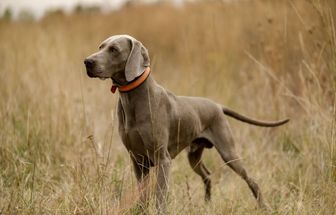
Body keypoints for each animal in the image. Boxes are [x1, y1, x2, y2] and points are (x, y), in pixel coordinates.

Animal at [83, 34, 288, 212]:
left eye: (114, 49)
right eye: (100, 47)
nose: (87, 62)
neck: (133, 98)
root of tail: (217, 105)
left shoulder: (162, 159)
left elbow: (160, 194)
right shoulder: (138, 160)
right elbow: (143, 193)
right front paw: (140, 210)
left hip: (228, 153)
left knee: (251, 179)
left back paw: (264, 206)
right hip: (194, 155)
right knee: (207, 175)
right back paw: (207, 204)